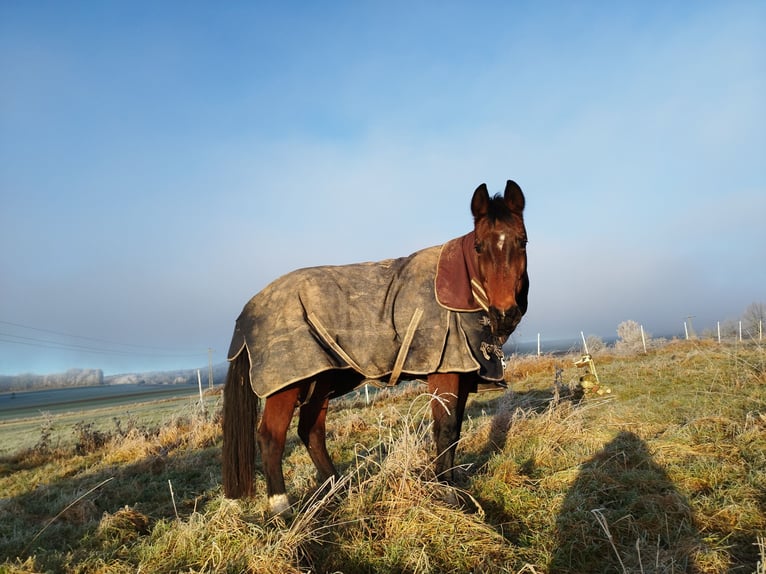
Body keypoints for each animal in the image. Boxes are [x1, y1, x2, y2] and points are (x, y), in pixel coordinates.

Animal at [225, 181, 532, 516]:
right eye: (478, 246)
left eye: (522, 241)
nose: (504, 314)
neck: (461, 291)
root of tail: (248, 309)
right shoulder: (445, 372)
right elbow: (446, 430)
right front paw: (448, 493)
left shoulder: (462, 374)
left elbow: (455, 432)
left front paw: (452, 487)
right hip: (288, 384)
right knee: (271, 438)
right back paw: (282, 508)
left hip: (321, 380)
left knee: (311, 431)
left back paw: (338, 488)